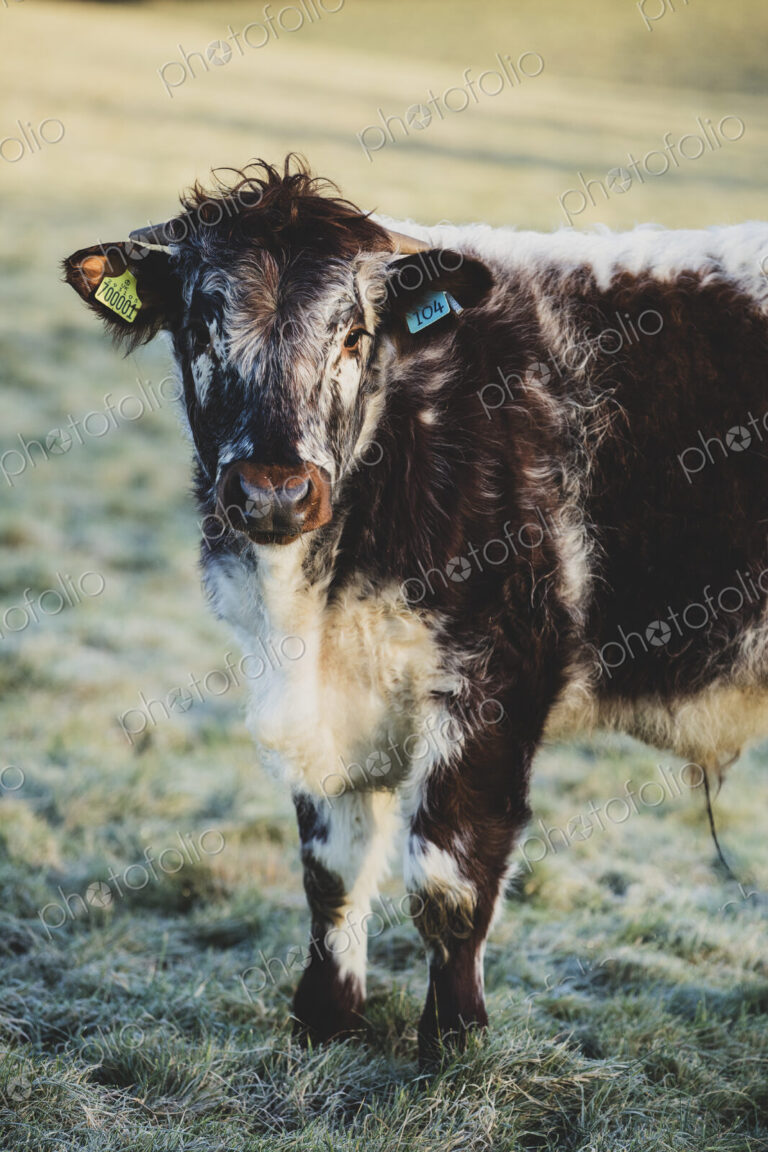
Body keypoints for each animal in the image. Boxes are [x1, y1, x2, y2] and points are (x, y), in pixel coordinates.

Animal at [63, 156, 768, 1065]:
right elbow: (330, 870)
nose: (274, 490)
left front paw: (454, 1042)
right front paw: (326, 1016)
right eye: (200, 328)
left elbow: (449, 877)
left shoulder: (496, 680)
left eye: (353, 335)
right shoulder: (316, 700)